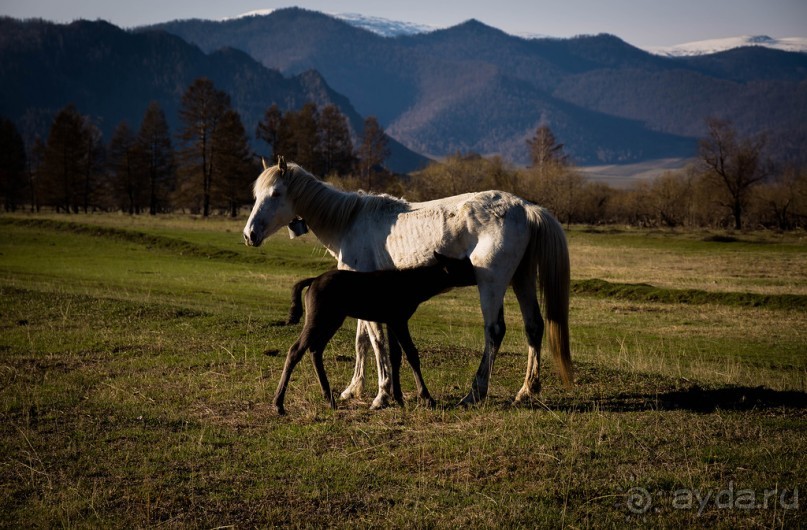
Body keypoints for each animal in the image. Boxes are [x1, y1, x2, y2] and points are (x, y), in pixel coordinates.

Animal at [274, 254, 476, 414]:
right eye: (464, 267)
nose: (478, 275)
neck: (412, 283)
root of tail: (313, 280)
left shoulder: (392, 321)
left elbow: (396, 355)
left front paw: (398, 398)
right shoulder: (399, 320)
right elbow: (411, 354)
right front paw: (427, 398)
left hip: (332, 320)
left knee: (316, 350)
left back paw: (329, 399)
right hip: (317, 318)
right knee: (296, 350)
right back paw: (279, 404)